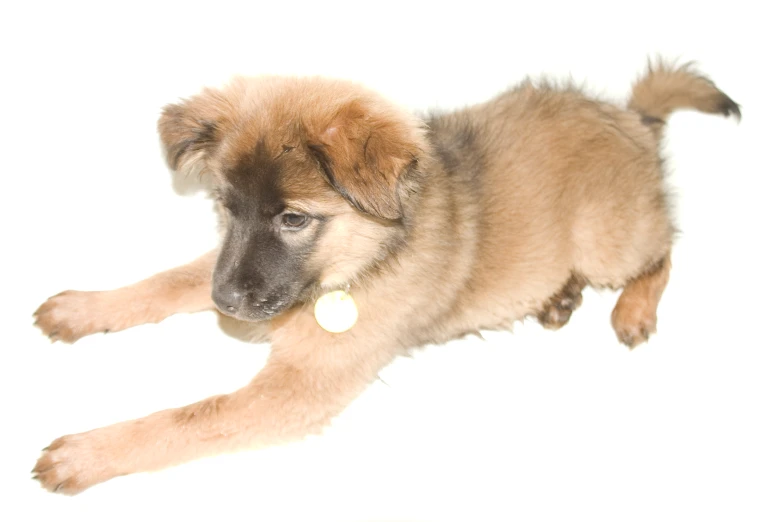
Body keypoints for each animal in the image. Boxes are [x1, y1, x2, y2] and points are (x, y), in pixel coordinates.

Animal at [32, 61, 740, 492]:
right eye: (226, 207)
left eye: (294, 218)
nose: (226, 303)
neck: (364, 257)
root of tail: (632, 122)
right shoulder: (232, 267)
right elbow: (166, 282)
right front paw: (84, 308)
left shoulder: (298, 387)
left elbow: (188, 418)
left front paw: (88, 452)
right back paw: (559, 297)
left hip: (605, 240)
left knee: (665, 243)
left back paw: (633, 308)